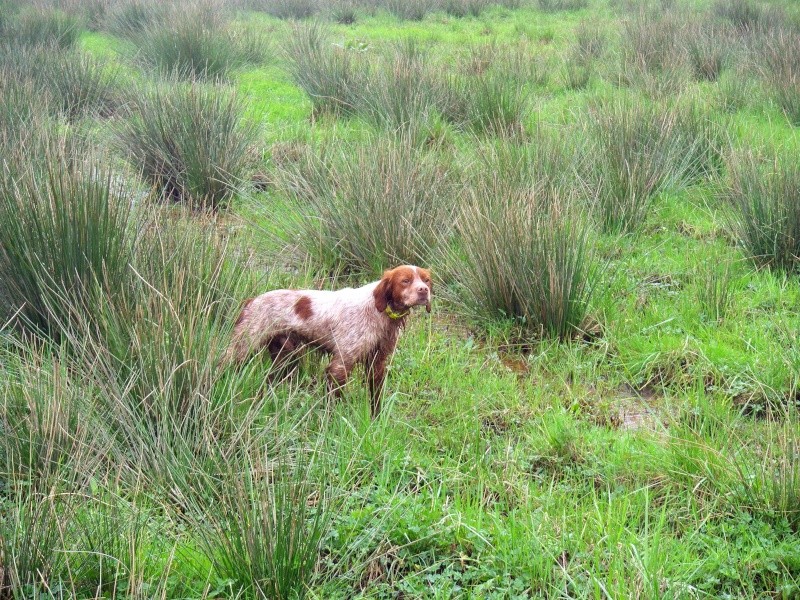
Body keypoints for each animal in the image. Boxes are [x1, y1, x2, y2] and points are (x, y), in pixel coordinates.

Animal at [225, 268, 432, 418]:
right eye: (405, 280)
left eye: (427, 280)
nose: (424, 290)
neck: (378, 310)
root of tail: (252, 300)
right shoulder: (340, 364)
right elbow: (335, 401)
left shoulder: (377, 363)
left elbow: (376, 398)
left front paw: (376, 420)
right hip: (243, 347)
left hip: (285, 356)